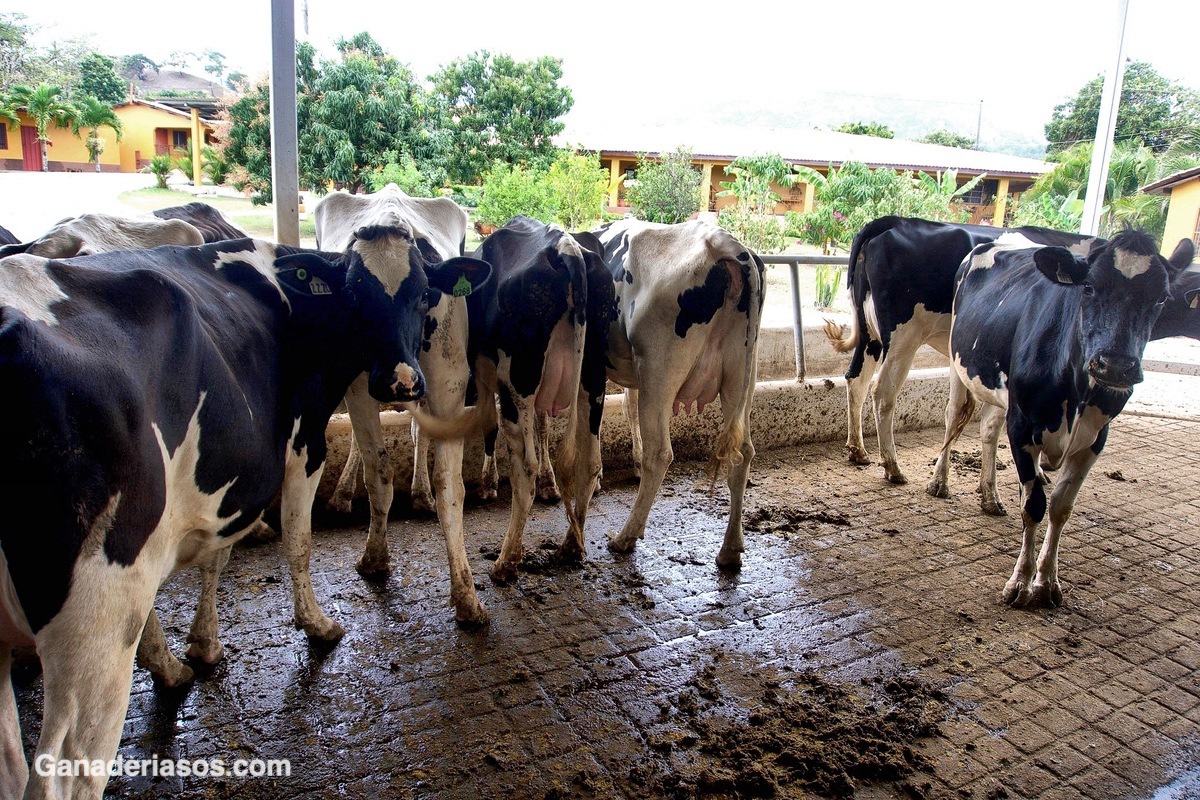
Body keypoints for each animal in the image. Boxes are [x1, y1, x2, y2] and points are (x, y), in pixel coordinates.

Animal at [1, 227, 487, 796]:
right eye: (355, 295)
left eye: (423, 294)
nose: (400, 382)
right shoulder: (302, 439)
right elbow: (296, 538)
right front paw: (316, 623)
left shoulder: (238, 472)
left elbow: (218, 554)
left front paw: (203, 643)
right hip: (95, 609)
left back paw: (168, 667)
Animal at [592, 219, 768, 568]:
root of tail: (725, 243)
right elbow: (627, 407)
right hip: (743, 373)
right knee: (744, 452)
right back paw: (730, 549)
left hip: (658, 368)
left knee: (660, 453)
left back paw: (625, 537)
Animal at [825, 212, 1099, 484]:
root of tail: (893, 221)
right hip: (904, 336)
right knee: (882, 392)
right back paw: (893, 466)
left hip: (870, 332)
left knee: (856, 379)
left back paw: (858, 450)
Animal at [916, 226, 1190, 606]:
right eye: (1089, 286)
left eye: (1161, 299)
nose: (1115, 365)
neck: (1074, 392)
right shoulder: (1022, 426)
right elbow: (1033, 505)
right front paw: (1020, 583)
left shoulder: (1095, 439)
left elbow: (1061, 507)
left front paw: (1046, 582)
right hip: (961, 363)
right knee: (954, 417)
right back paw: (940, 482)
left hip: (999, 389)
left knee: (988, 430)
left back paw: (990, 495)